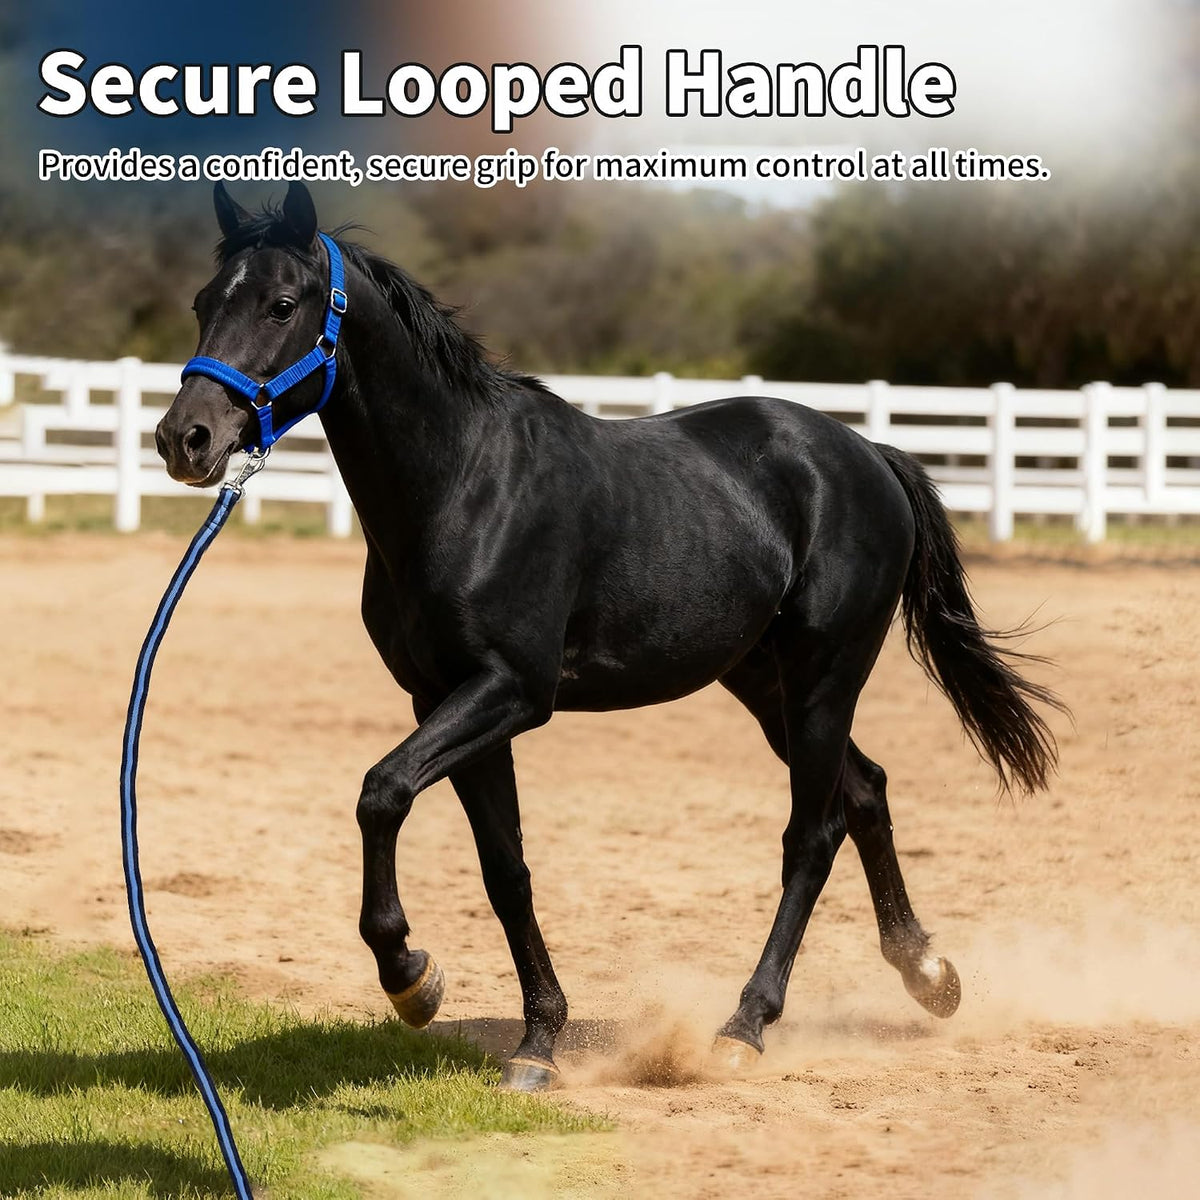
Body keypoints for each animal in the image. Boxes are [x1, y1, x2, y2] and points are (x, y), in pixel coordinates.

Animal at [156, 181, 1064, 1091]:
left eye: (282, 304)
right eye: (201, 302)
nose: (184, 438)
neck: (464, 485)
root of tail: (868, 452)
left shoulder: (512, 692)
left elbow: (382, 792)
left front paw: (413, 978)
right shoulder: (444, 698)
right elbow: (504, 869)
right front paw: (535, 1042)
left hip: (823, 677)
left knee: (813, 833)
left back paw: (745, 1026)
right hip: (763, 681)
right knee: (866, 791)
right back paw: (928, 974)